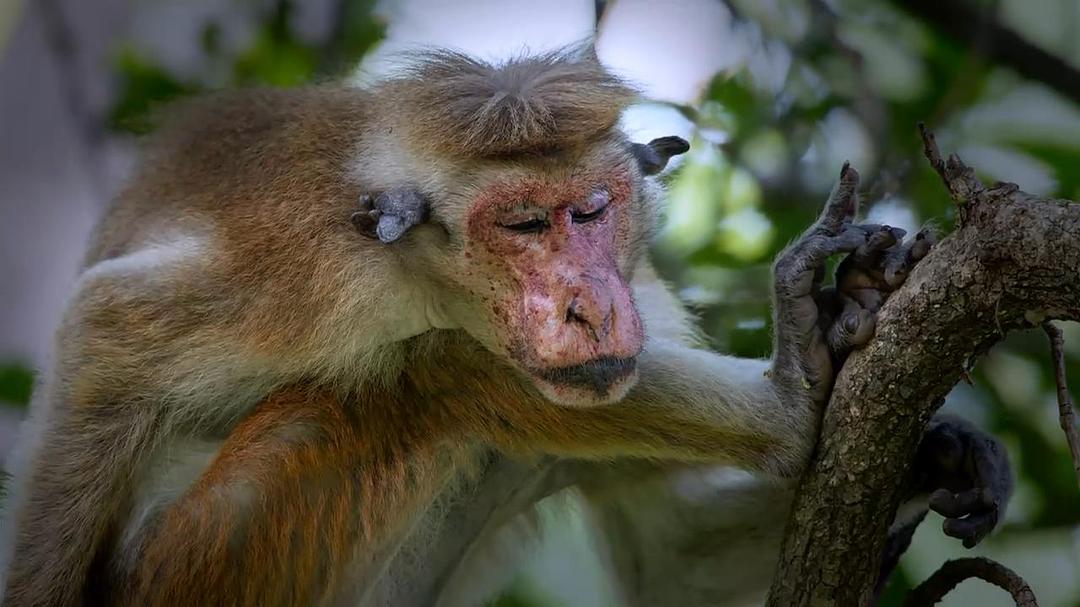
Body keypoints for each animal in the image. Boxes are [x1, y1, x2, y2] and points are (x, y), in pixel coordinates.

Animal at [0, 49, 1010, 607]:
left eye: (591, 210)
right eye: (523, 224)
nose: (588, 303)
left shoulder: (640, 283)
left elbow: (669, 569)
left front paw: (937, 458)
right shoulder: (321, 281)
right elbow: (105, 328)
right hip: (202, 559)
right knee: (440, 375)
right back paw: (793, 401)